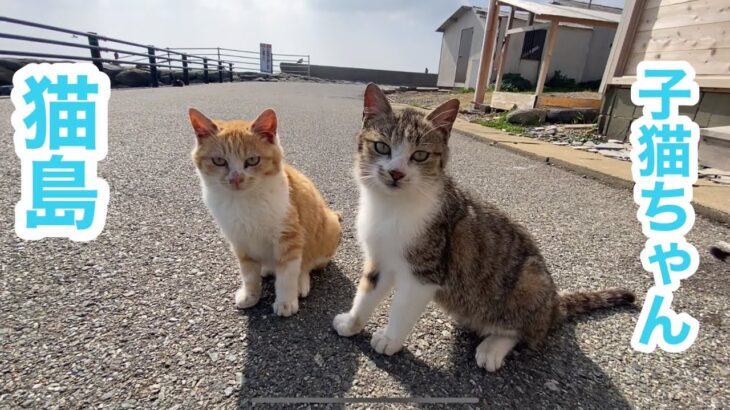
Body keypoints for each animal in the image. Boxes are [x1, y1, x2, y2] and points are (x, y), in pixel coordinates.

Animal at [191, 107, 344, 316]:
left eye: (252, 160)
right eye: (219, 161)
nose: (236, 179)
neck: (245, 201)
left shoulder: (289, 237)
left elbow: (287, 273)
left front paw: (286, 302)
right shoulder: (239, 240)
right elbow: (248, 274)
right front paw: (250, 295)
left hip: (327, 229)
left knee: (307, 264)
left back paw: (301, 282)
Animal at [332, 83, 632, 372]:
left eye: (420, 155)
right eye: (382, 147)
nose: (396, 173)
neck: (393, 207)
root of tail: (554, 306)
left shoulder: (425, 271)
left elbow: (403, 308)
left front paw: (390, 340)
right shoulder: (380, 258)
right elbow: (367, 291)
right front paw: (352, 322)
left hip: (530, 280)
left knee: (522, 331)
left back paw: (493, 347)